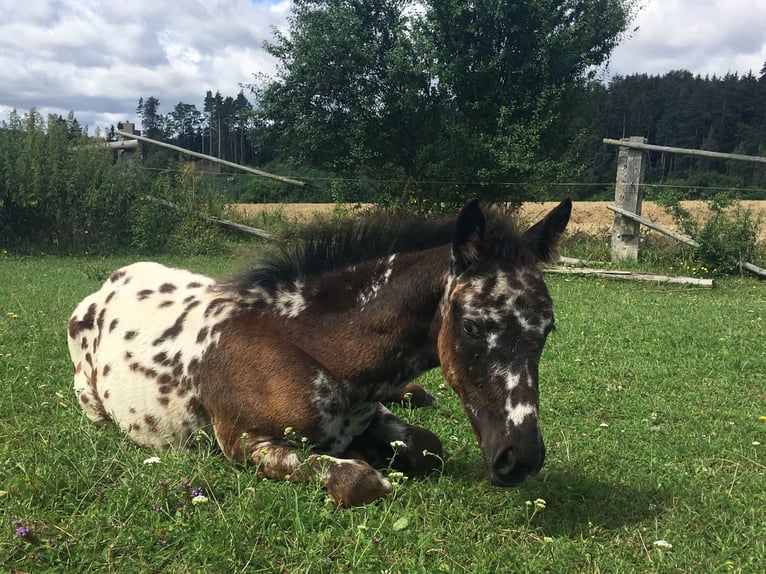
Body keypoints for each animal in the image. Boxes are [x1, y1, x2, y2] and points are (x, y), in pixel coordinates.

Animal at [70, 200, 568, 506]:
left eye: (548, 329)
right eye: (471, 326)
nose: (520, 459)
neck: (307, 347)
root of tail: (111, 281)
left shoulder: (372, 411)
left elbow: (429, 446)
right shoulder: (243, 443)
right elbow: (358, 478)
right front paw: (368, 463)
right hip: (90, 403)